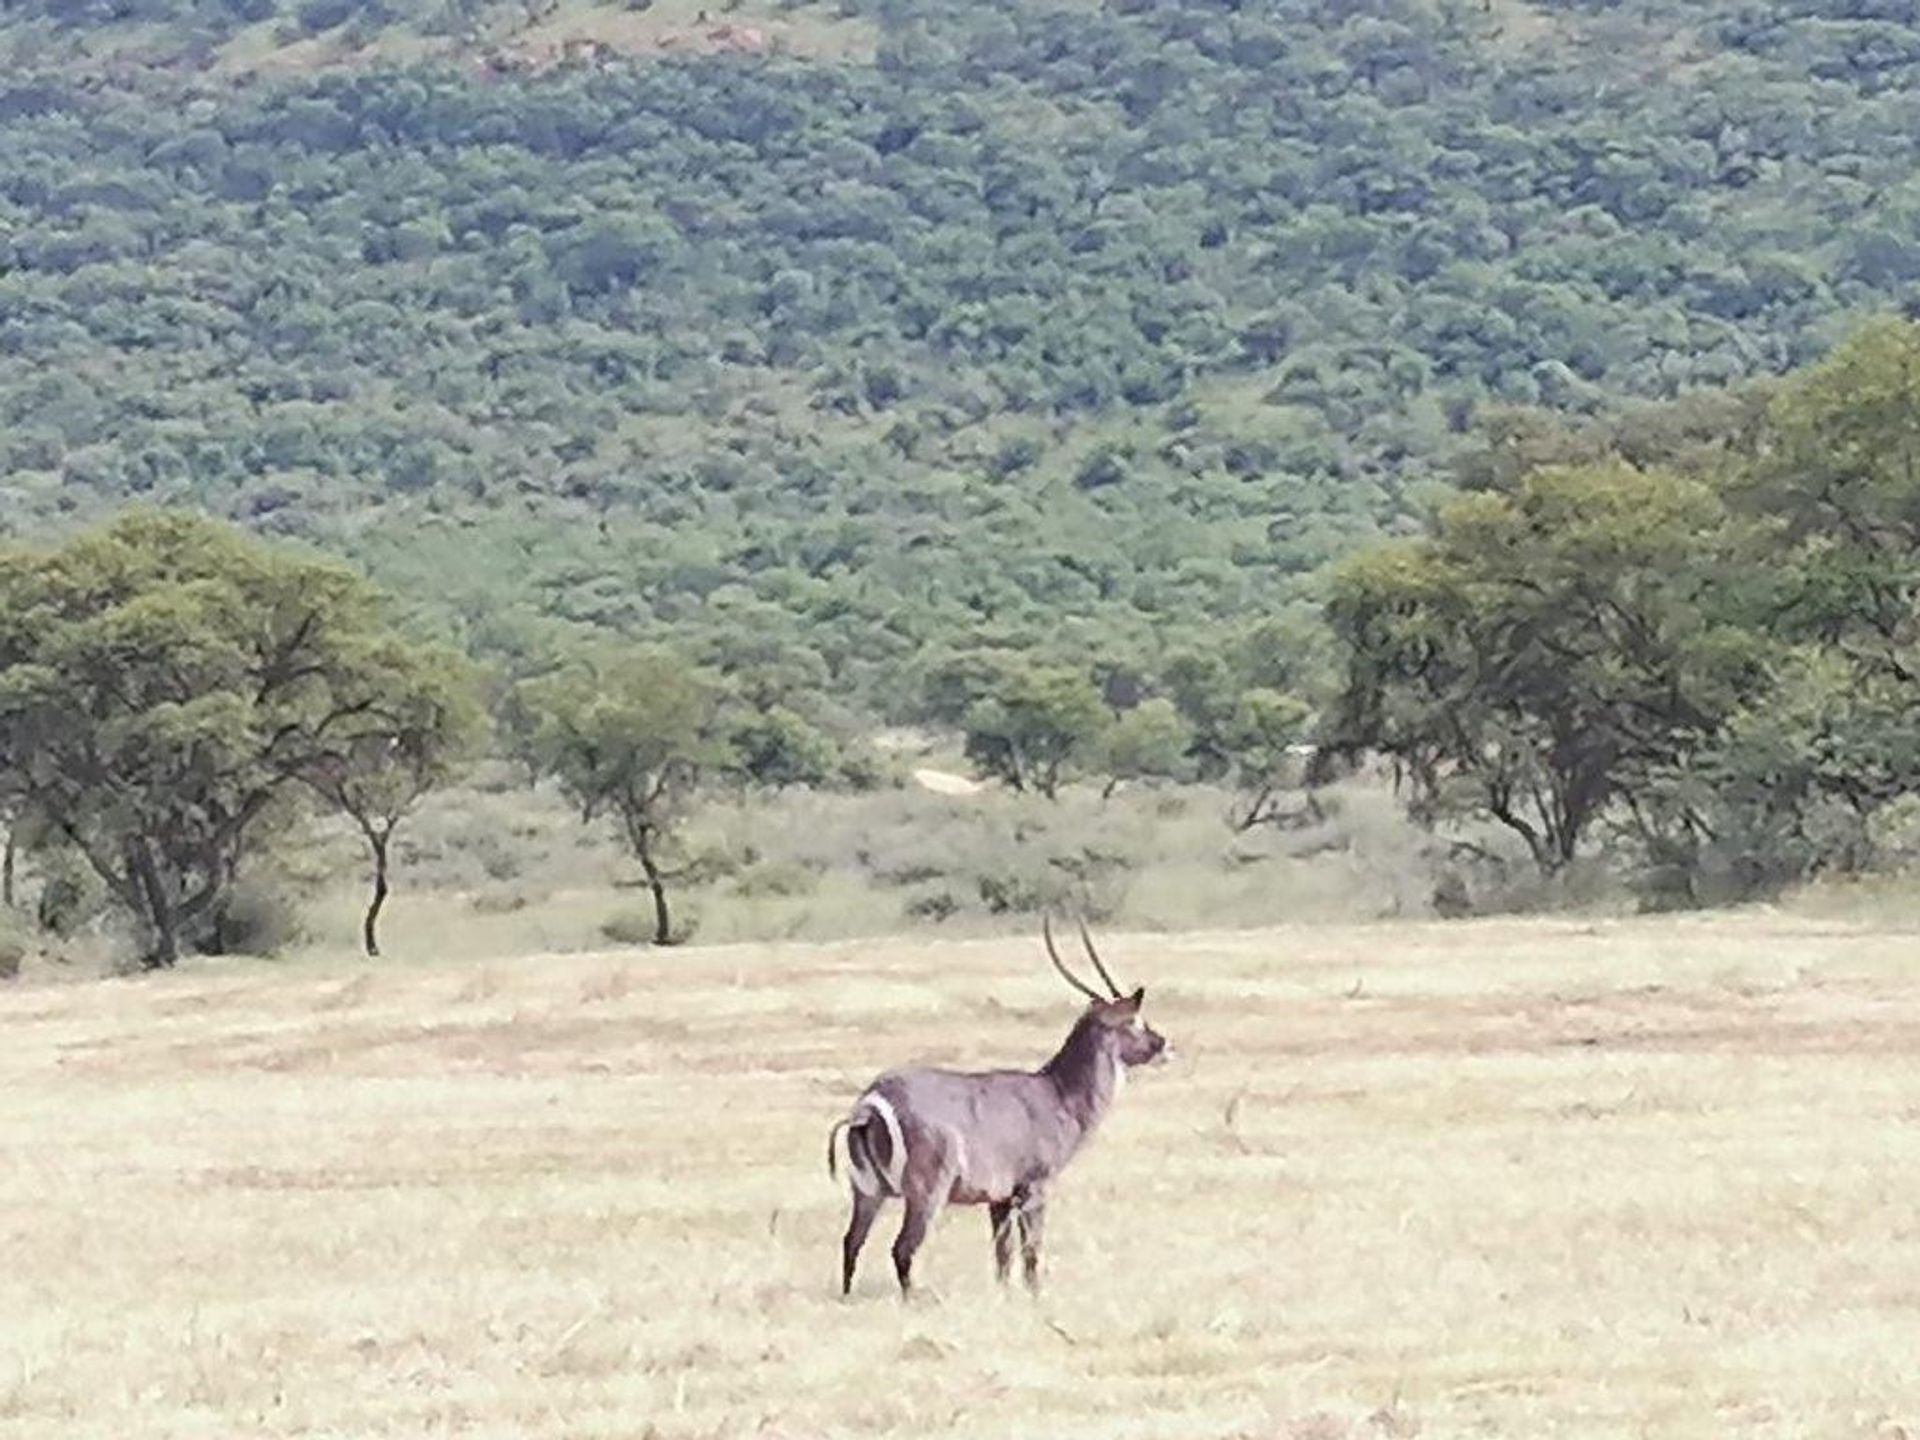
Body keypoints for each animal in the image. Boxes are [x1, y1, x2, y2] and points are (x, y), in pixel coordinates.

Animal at [817, 917, 1159, 1305]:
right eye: (1135, 1021)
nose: (1163, 1043)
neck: (1057, 1093)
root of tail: (872, 1102)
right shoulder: (1034, 1190)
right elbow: (1031, 1251)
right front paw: (1035, 1298)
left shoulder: (998, 1199)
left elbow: (1002, 1254)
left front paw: (1004, 1296)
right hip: (925, 1194)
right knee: (902, 1248)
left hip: (867, 1193)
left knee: (851, 1242)